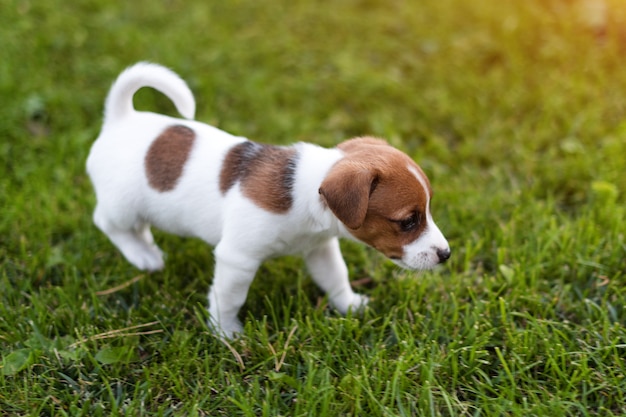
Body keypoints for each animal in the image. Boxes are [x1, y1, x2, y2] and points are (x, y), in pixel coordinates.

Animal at [88, 62, 448, 338]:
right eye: (408, 221)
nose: (446, 255)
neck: (303, 193)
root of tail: (120, 118)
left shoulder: (320, 249)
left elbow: (336, 277)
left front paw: (349, 304)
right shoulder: (238, 259)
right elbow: (229, 299)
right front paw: (226, 333)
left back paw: (149, 251)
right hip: (122, 206)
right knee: (106, 223)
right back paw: (141, 256)